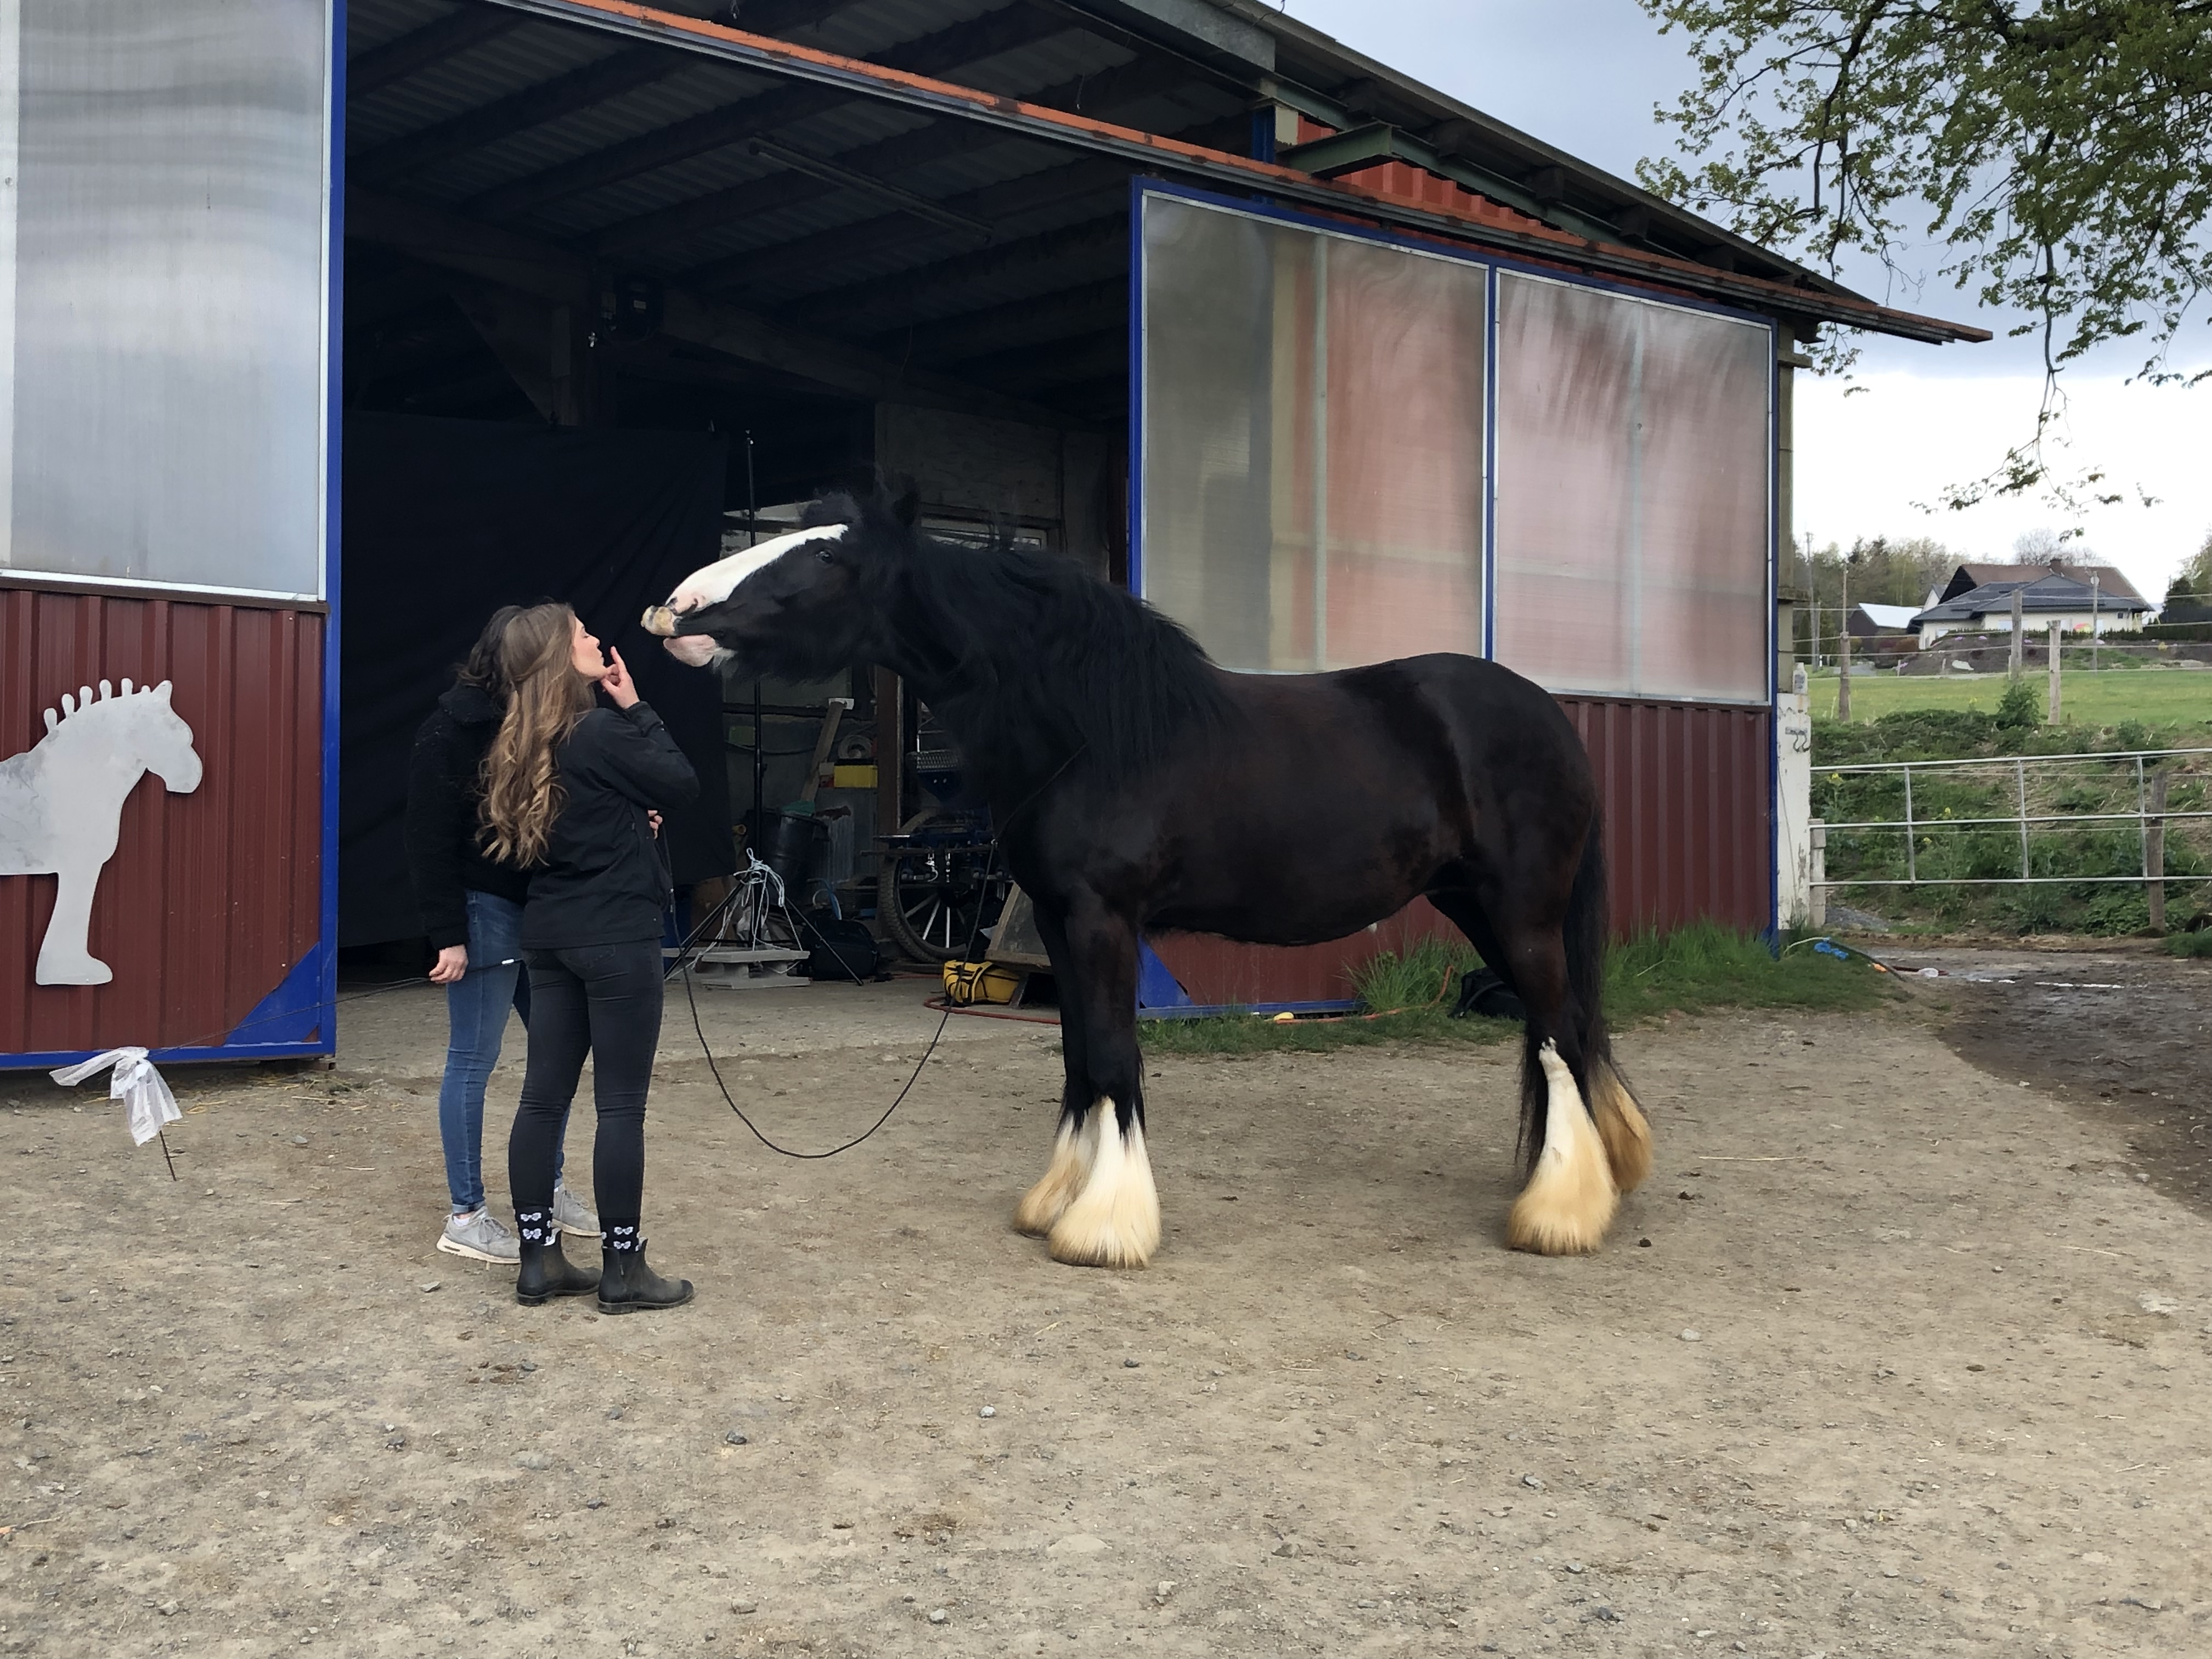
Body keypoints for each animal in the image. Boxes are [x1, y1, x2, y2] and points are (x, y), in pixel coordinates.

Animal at [0, 679, 202, 986]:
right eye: (176, 733)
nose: (192, 779)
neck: (73, 779)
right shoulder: (80, 866)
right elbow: (74, 912)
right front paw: (70, 972)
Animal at [645, 493, 1651, 1267]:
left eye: (821, 554)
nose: (674, 610)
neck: (1086, 724)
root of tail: (1550, 718)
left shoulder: (1104, 921)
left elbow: (1116, 1056)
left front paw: (1105, 1225)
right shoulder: (1058, 923)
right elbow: (1081, 1056)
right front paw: (1058, 1198)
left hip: (1520, 913)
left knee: (1556, 1034)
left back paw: (1557, 1213)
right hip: (1477, 907)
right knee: (1564, 1029)